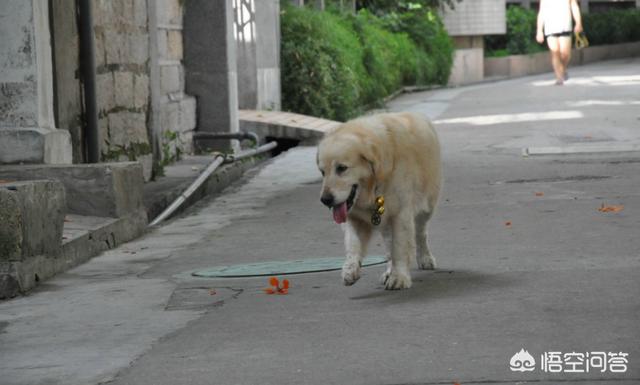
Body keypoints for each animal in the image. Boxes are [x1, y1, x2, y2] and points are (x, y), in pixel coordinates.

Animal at [316, 112, 440, 290]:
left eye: (341, 168)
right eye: (322, 172)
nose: (325, 200)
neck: (374, 185)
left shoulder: (400, 214)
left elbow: (400, 247)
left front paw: (399, 277)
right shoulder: (354, 217)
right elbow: (353, 244)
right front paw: (350, 269)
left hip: (426, 208)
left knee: (421, 233)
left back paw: (425, 258)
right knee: (389, 246)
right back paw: (388, 270)